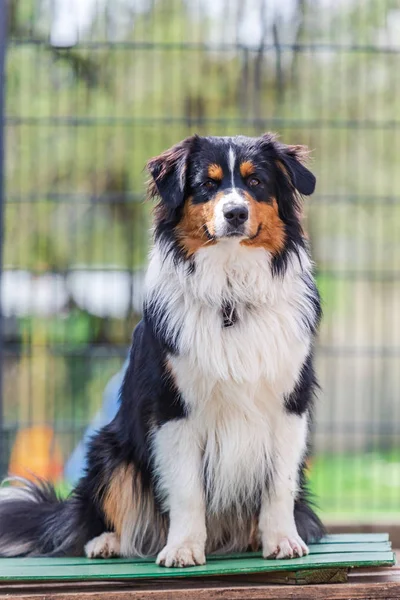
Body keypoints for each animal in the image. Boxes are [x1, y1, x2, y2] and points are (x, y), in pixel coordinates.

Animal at [0, 134, 324, 564]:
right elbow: (187, 490)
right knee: (109, 516)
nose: (235, 213)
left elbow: (279, 485)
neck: (231, 292)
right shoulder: (172, 407)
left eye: (256, 182)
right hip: (110, 451)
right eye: (207, 184)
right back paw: (106, 542)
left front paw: (282, 540)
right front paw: (183, 547)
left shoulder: (290, 405)